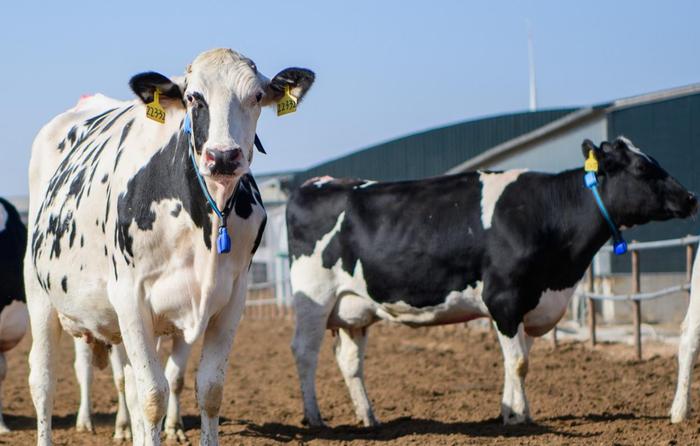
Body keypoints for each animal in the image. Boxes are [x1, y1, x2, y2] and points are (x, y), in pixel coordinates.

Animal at [25, 48, 314, 446]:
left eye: (257, 96)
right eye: (193, 97)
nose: (223, 157)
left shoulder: (230, 299)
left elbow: (208, 389)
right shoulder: (130, 298)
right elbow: (152, 396)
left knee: (129, 382)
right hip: (39, 295)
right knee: (43, 381)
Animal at [288, 137, 696, 428]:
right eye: (642, 167)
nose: (691, 197)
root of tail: (316, 182)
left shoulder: (531, 303)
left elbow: (518, 361)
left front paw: (515, 411)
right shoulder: (505, 298)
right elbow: (518, 363)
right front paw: (517, 418)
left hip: (353, 310)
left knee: (349, 362)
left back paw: (369, 417)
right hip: (313, 297)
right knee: (305, 352)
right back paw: (315, 418)